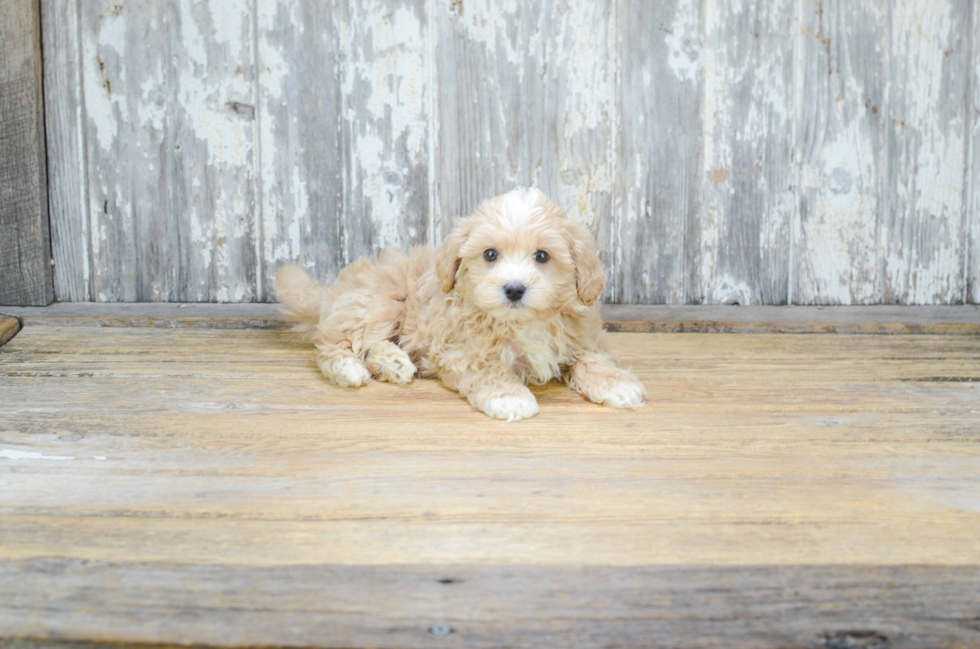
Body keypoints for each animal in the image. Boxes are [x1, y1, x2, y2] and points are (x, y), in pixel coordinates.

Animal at [276, 187, 648, 420]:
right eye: (490, 254)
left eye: (542, 256)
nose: (514, 289)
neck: (523, 321)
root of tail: (336, 292)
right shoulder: (457, 349)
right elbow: (487, 368)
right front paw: (509, 396)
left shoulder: (584, 337)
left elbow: (592, 359)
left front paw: (618, 383)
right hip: (381, 301)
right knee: (336, 343)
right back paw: (350, 368)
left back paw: (393, 364)